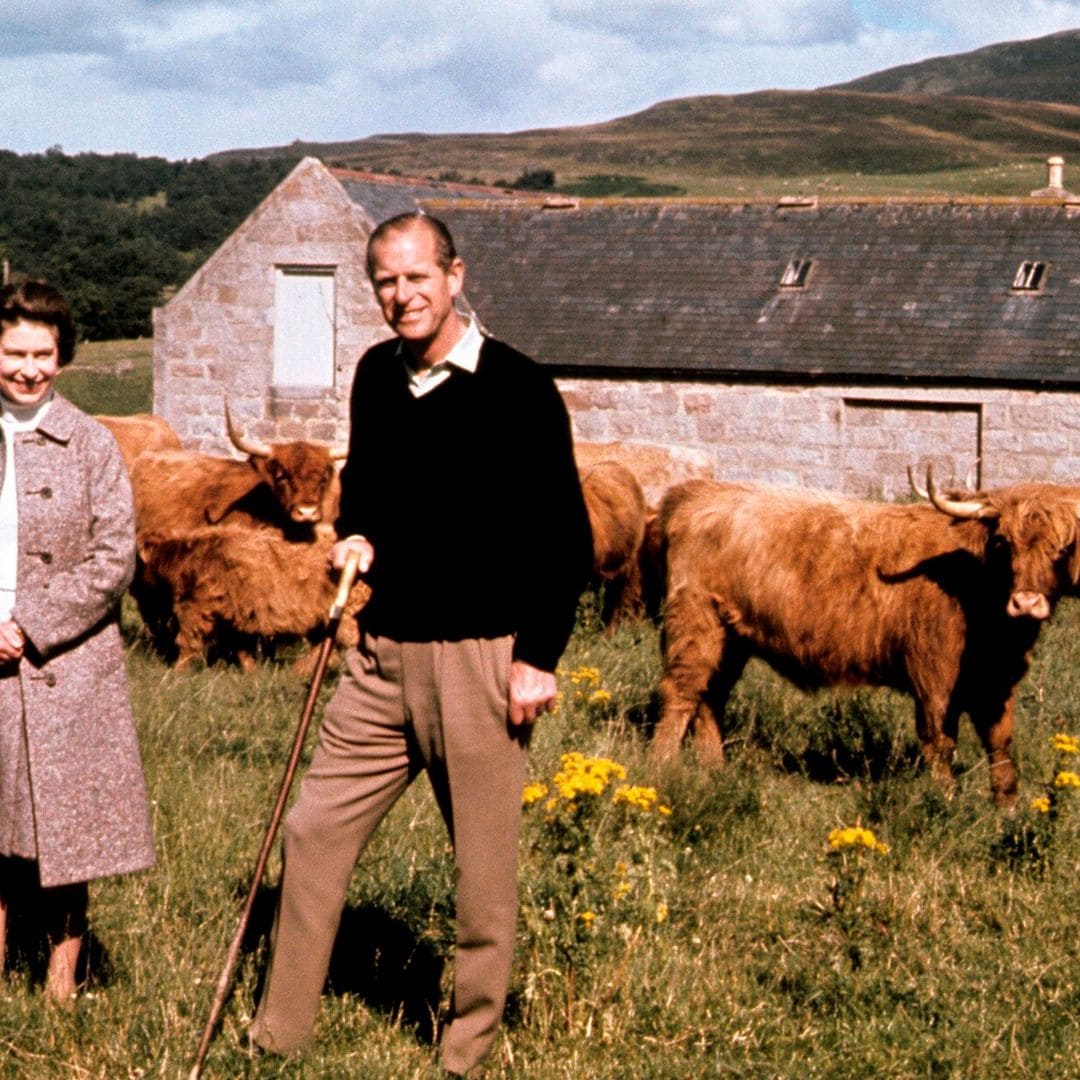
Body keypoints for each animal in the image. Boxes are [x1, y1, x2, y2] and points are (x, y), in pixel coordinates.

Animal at [133, 524, 371, 669]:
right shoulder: (232, 615)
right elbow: (241, 649)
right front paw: (253, 673)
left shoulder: (195, 606)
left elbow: (186, 642)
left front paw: (176, 673)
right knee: (321, 648)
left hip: (346, 618)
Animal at [652, 473, 1080, 803]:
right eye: (1004, 543)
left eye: (1062, 548)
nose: (1026, 603)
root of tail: (697, 492)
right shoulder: (934, 677)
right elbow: (940, 741)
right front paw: (945, 802)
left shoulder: (997, 681)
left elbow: (999, 741)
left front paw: (1007, 807)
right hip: (695, 623)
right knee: (681, 692)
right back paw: (664, 768)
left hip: (731, 639)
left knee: (710, 697)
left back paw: (714, 769)